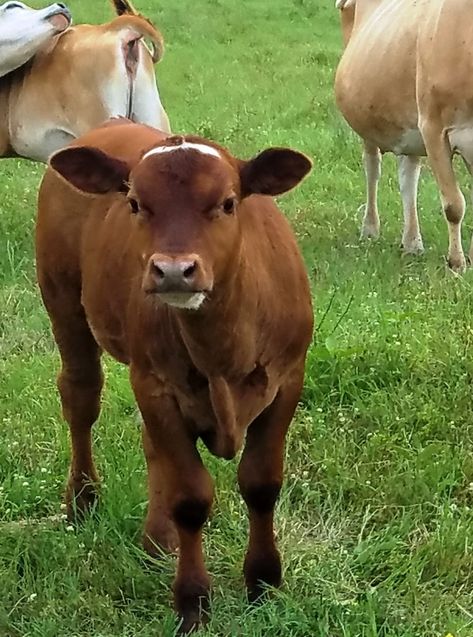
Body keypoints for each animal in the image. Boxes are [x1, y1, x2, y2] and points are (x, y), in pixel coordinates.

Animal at [334, 0, 473, 270]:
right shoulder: (433, 128)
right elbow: (453, 205)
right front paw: (457, 264)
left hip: (405, 124)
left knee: (407, 177)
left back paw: (412, 242)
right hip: (366, 119)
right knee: (372, 169)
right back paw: (370, 229)